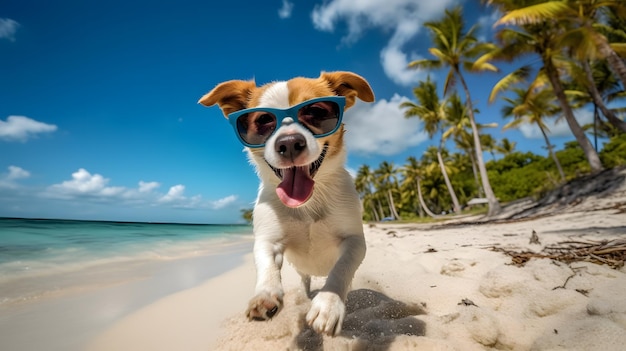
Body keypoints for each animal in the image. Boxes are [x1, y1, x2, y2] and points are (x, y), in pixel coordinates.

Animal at [200, 72, 372, 338]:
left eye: (316, 112)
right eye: (263, 120)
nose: (289, 143)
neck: (309, 201)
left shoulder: (354, 241)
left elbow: (341, 268)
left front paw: (328, 304)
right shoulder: (268, 241)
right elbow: (267, 267)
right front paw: (266, 295)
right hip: (302, 270)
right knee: (305, 280)